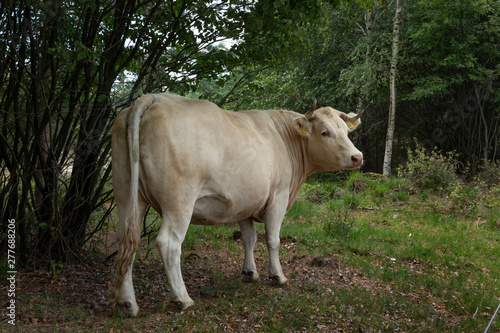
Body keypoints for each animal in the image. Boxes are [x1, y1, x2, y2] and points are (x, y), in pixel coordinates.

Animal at [110, 92, 364, 316]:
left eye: (345, 131)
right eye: (324, 132)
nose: (357, 157)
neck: (284, 139)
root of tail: (153, 98)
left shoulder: (245, 202)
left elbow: (248, 238)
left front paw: (249, 273)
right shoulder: (279, 197)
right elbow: (273, 240)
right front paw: (278, 276)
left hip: (127, 196)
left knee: (128, 241)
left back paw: (128, 304)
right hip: (179, 200)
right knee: (169, 243)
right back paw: (182, 299)